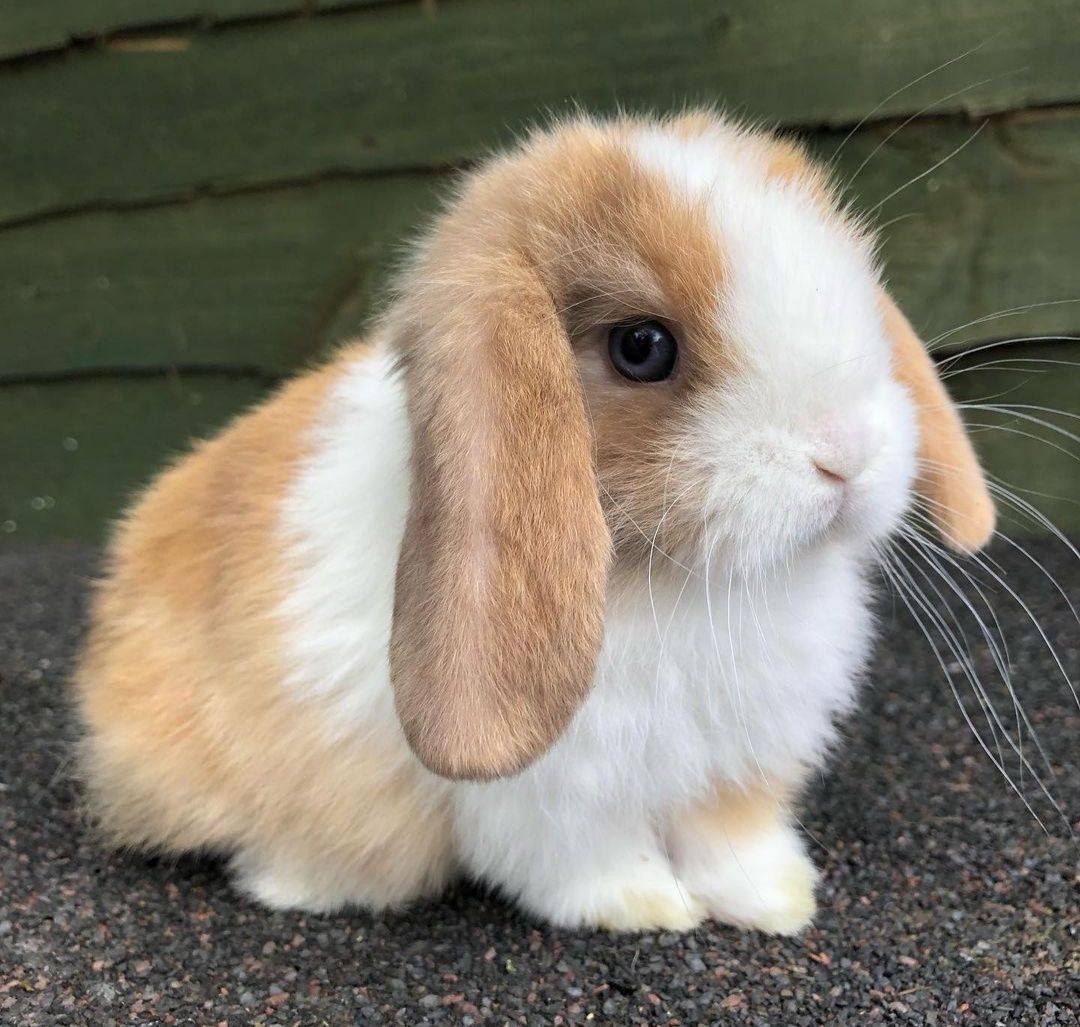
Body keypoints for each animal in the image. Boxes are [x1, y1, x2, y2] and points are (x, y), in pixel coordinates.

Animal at [71, 108, 989, 937]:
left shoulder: (738, 766)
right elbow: (585, 858)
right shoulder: (556, 795)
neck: (678, 585)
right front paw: (647, 906)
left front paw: (779, 903)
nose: (848, 452)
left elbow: (733, 840)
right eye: (642, 347)